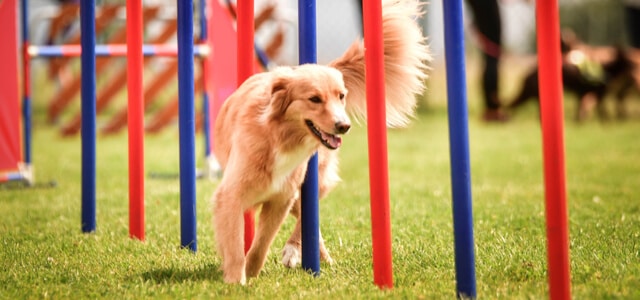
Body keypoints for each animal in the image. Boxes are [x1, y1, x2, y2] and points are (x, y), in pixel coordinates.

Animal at [210, 0, 430, 284]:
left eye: (341, 96)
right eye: (314, 99)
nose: (344, 126)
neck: (279, 137)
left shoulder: (281, 198)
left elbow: (261, 245)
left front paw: (251, 272)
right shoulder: (231, 196)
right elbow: (237, 246)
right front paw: (237, 280)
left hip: (311, 183)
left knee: (307, 218)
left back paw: (298, 252)